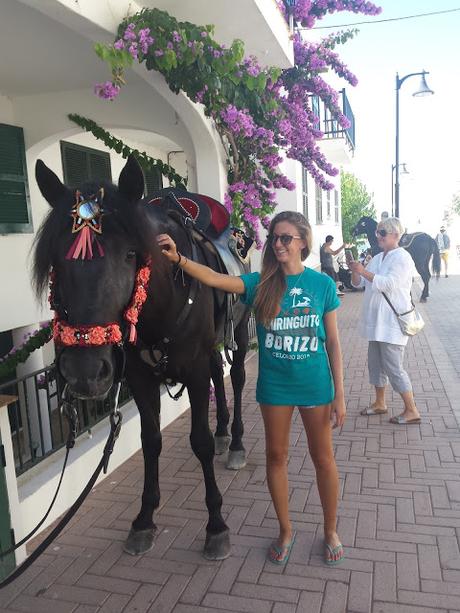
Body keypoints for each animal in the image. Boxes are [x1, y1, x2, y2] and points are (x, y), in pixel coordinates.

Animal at [32, 157, 250, 560]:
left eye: (131, 253)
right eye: (55, 259)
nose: (84, 371)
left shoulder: (194, 369)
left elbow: (199, 442)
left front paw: (216, 525)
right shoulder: (139, 376)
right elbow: (150, 441)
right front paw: (144, 519)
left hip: (240, 332)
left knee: (239, 378)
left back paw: (237, 442)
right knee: (220, 371)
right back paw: (224, 431)